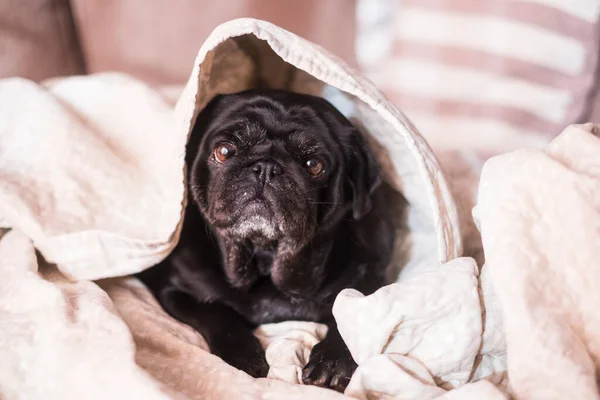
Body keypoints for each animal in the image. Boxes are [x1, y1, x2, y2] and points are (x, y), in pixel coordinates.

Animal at [138, 89, 396, 392]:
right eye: (224, 151)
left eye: (314, 165)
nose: (266, 168)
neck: (264, 255)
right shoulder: (178, 291)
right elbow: (217, 313)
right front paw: (243, 353)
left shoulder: (368, 282)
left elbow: (348, 319)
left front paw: (333, 360)